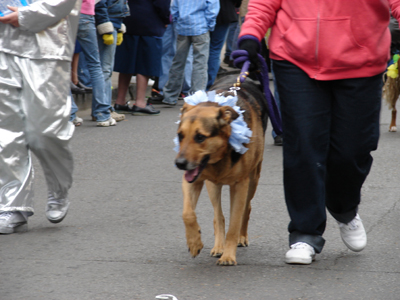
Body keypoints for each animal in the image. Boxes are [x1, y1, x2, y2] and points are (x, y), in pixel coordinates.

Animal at [175, 74, 268, 264]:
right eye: (180, 136)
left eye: (200, 137)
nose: (179, 163)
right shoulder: (193, 180)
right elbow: (187, 213)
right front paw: (194, 242)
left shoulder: (240, 185)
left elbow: (234, 223)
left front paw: (229, 256)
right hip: (213, 185)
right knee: (218, 216)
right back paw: (218, 246)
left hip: (253, 180)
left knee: (246, 209)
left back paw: (241, 237)